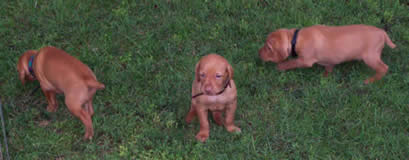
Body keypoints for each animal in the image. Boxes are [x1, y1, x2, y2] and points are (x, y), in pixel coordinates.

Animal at [258, 24, 396, 84]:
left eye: (268, 47)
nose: (258, 54)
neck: (296, 39)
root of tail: (383, 33)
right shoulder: (329, 61)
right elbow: (328, 67)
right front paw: (325, 77)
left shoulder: (305, 61)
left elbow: (291, 63)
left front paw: (280, 67)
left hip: (370, 57)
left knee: (384, 68)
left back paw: (370, 81)